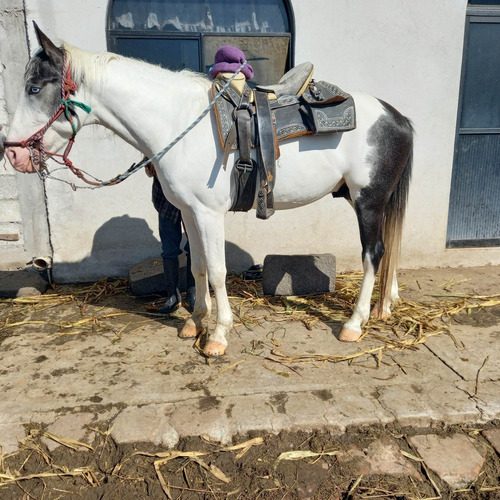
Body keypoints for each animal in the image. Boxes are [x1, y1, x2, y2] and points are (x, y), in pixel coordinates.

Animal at [4, 25, 414, 358]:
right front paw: (195, 322)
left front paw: (217, 335)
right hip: (373, 201)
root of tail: (396, 116)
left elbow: (217, 271)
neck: (177, 121)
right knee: (390, 247)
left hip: (368, 201)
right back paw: (386, 305)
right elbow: (197, 265)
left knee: (373, 253)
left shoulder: (208, 213)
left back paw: (355, 323)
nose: (12, 152)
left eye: (35, 88)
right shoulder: (189, 212)